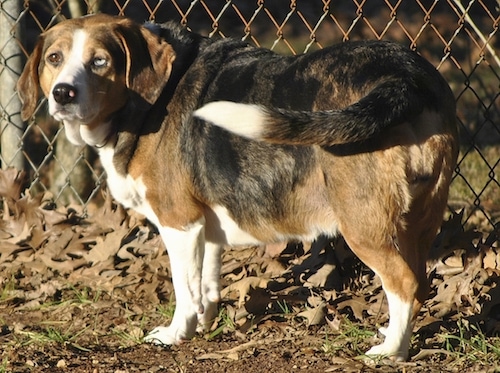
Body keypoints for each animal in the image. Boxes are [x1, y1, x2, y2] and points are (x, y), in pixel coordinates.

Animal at [17, 13, 458, 358]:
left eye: (100, 62)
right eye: (54, 58)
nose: (63, 94)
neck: (141, 102)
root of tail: (406, 75)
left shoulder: (179, 223)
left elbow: (184, 289)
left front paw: (175, 334)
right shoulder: (206, 226)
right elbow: (206, 285)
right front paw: (204, 325)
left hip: (363, 225)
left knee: (403, 283)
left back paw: (390, 351)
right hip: (420, 221)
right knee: (420, 283)